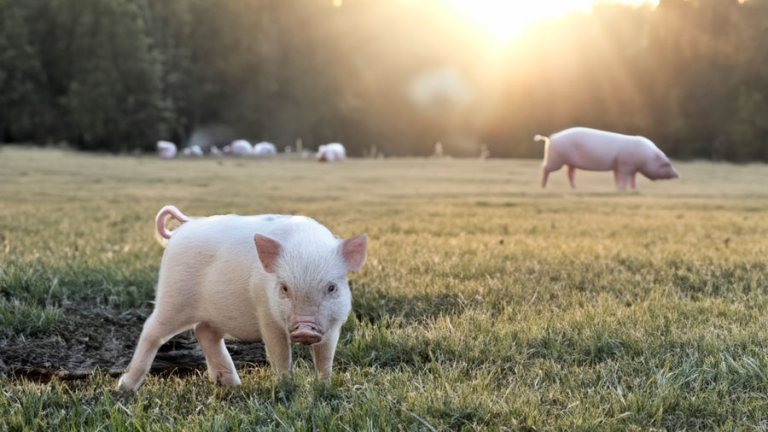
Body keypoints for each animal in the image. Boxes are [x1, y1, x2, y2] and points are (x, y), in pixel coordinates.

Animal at [118, 206, 368, 392]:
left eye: (331, 287)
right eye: (284, 288)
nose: (305, 329)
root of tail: (185, 225)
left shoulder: (333, 324)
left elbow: (325, 357)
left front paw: (324, 387)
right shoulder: (266, 313)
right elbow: (279, 353)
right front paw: (286, 388)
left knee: (204, 332)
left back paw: (231, 384)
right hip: (173, 297)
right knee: (151, 330)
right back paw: (125, 387)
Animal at [536, 127, 680, 190]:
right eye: (665, 164)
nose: (678, 175)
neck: (646, 157)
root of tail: (551, 138)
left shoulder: (624, 167)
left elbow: (629, 178)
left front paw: (633, 189)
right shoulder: (625, 164)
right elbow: (623, 177)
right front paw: (622, 189)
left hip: (568, 162)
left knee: (570, 172)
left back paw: (574, 187)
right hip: (555, 159)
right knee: (545, 168)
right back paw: (543, 186)